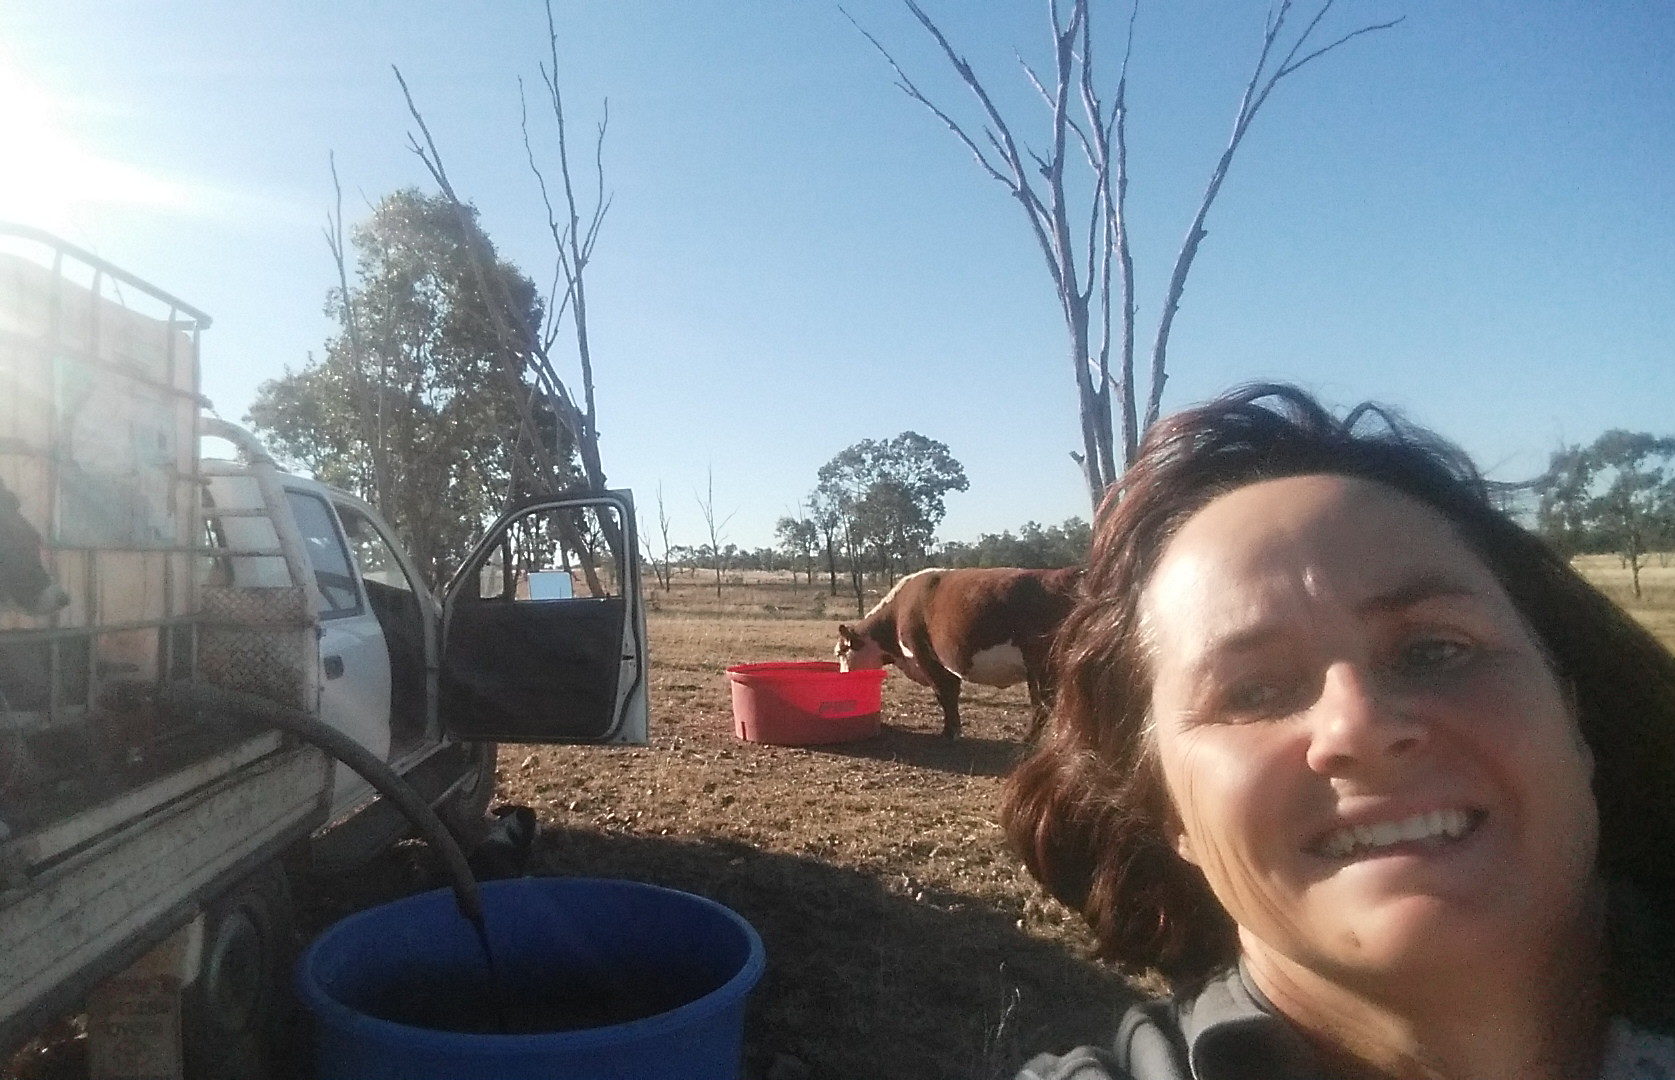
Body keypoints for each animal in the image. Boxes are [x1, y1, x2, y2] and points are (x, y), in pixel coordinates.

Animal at [837, 569, 1085, 736]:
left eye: (840, 652)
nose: (843, 678)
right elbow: (953, 693)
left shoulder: (926, 657)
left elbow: (944, 694)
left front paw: (950, 732)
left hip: (1043, 667)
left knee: (1042, 705)